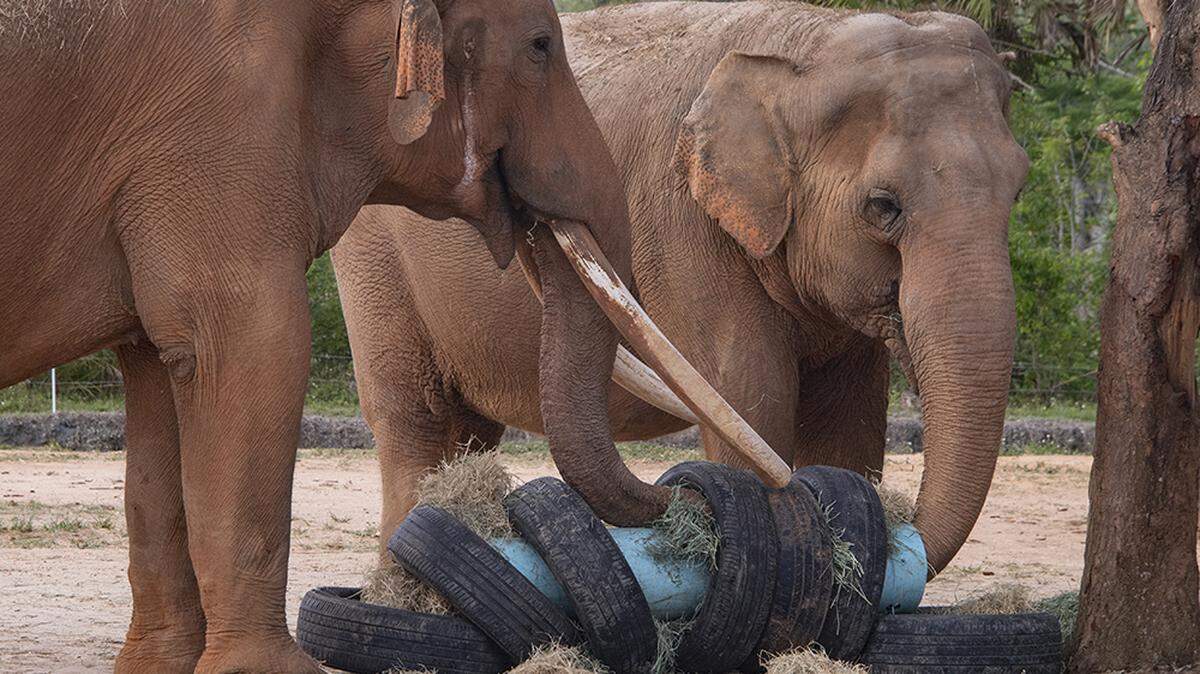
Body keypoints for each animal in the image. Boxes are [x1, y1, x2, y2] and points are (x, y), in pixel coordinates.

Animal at [2, 1, 775, 671]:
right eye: (540, 47)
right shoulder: (216, 128)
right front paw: (265, 670)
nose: (685, 494)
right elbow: (253, 350)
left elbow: (161, 376)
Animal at [333, 1, 1029, 576]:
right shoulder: (685, 226)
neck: (806, 41)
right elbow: (752, 399)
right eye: (883, 208)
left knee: (468, 433)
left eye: (1018, 193)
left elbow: (848, 429)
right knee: (415, 420)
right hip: (373, 257)